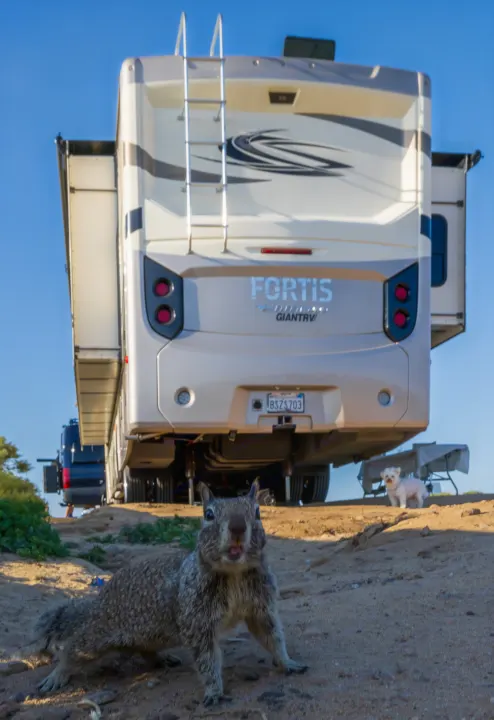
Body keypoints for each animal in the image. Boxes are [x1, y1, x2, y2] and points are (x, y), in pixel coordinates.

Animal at [33, 479, 308, 706]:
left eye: (258, 512)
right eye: (208, 515)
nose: (238, 527)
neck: (234, 574)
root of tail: (100, 599)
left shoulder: (260, 608)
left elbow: (272, 636)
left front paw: (288, 663)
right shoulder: (197, 619)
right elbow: (206, 659)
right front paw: (214, 691)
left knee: (142, 649)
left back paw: (162, 660)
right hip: (99, 634)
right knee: (74, 648)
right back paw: (57, 676)